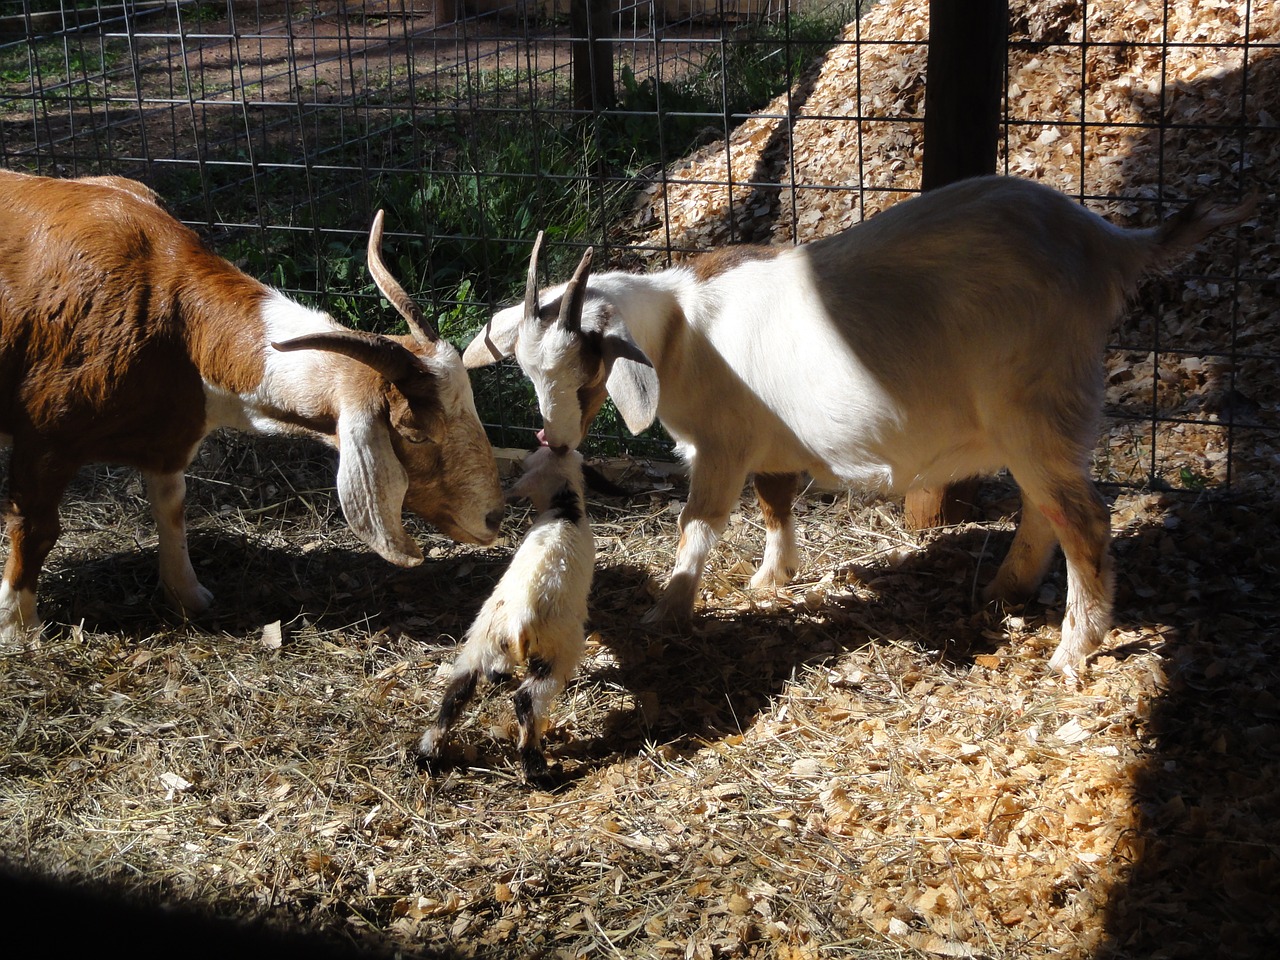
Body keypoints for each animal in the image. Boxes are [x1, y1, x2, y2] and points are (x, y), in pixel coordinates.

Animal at [1, 171, 509, 647]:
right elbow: (36, 526)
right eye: (415, 432)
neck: (169, 313)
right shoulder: (43, 441)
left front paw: (187, 596)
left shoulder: (171, 436)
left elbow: (172, 506)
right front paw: (18, 628)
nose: (494, 518)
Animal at [465, 176, 1254, 680]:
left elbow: (697, 524)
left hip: (1035, 406)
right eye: (528, 369)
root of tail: (1104, 241)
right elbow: (776, 503)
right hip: (1036, 423)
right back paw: (1005, 591)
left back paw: (1073, 649)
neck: (683, 331)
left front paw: (670, 609)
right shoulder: (768, 443)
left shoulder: (721, 445)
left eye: (587, 367)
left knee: (1084, 518)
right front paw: (772, 576)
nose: (555, 439)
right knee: (1045, 508)